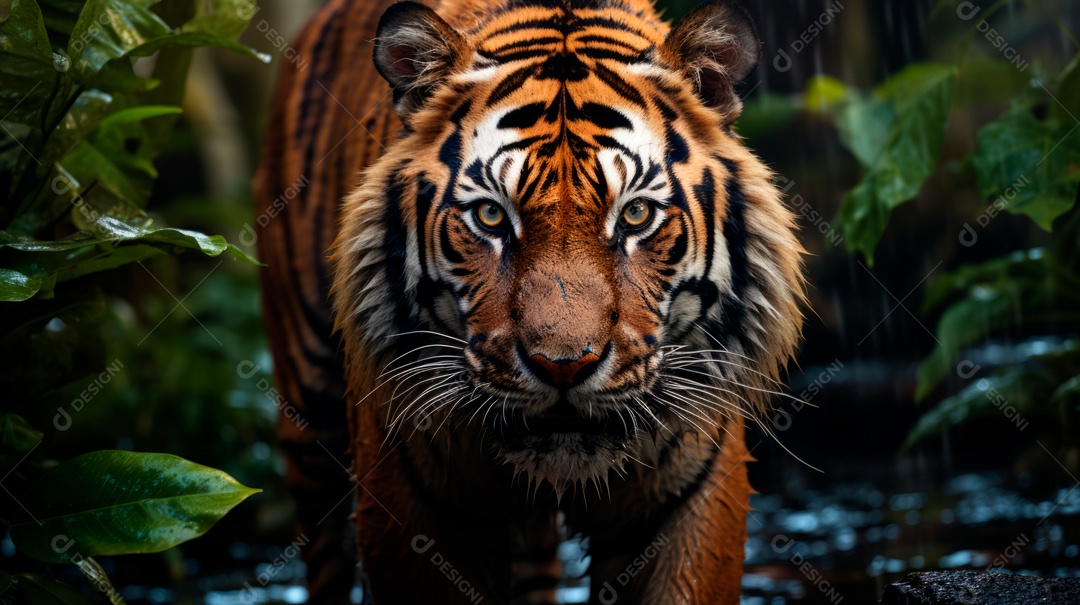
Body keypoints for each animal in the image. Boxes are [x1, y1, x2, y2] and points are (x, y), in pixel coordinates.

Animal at [254, 0, 806, 603]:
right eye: (491, 216)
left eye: (636, 214)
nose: (563, 367)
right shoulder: (410, 505)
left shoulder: (688, 501)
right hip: (308, 406)